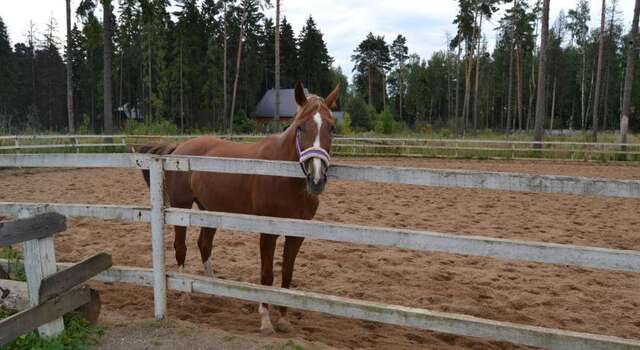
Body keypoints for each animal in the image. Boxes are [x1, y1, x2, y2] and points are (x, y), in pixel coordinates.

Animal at [138, 80, 340, 332]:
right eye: (301, 127)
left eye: (331, 128)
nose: (316, 179)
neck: (283, 175)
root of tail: (179, 148)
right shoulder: (268, 231)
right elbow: (266, 274)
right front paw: (265, 320)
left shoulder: (297, 233)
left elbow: (287, 273)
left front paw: (284, 319)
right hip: (181, 208)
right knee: (180, 247)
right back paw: (186, 294)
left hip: (209, 210)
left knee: (204, 244)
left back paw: (214, 289)